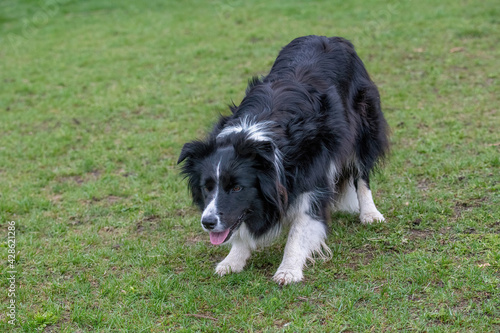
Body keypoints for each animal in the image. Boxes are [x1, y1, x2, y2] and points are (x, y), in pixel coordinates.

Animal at [178, 36, 388, 286]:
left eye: (237, 187)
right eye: (206, 187)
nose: (207, 222)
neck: (254, 139)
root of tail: (329, 38)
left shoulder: (313, 172)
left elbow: (301, 226)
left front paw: (288, 271)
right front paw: (232, 261)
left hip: (363, 118)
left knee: (361, 171)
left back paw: (370, 214)